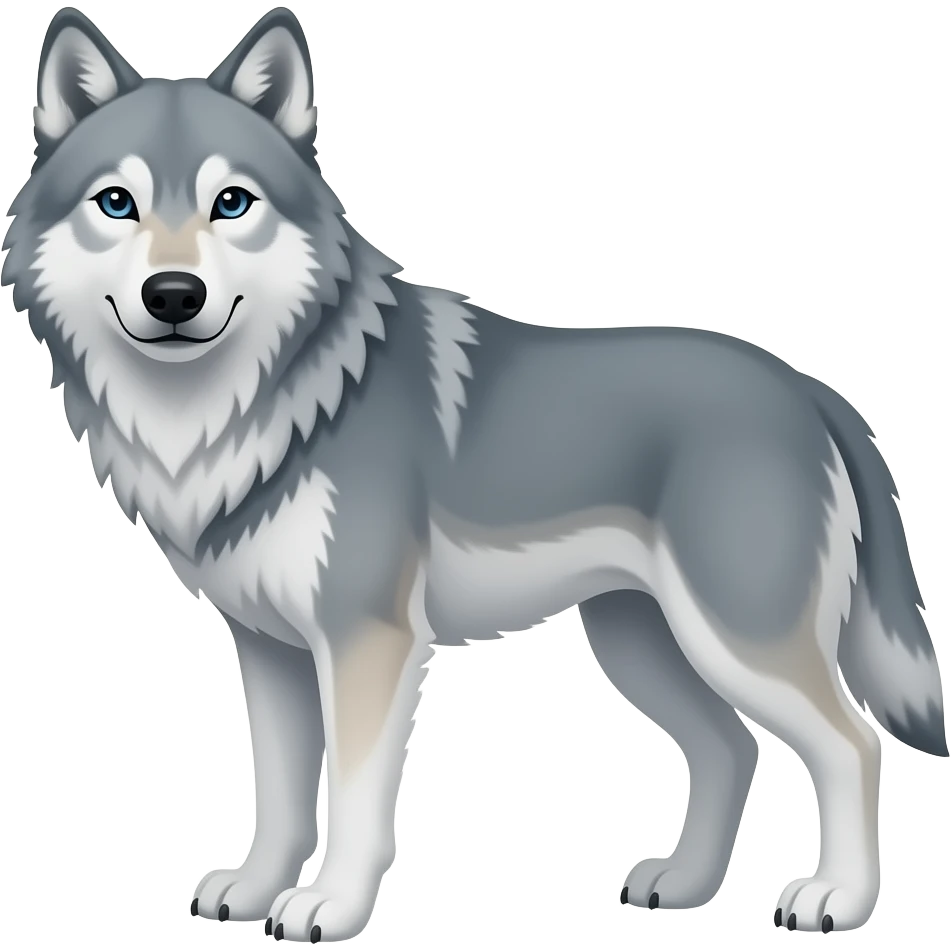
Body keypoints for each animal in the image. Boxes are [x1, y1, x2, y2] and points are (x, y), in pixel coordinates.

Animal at [2, 5, 946, 943]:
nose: (173, 295)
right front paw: (255, 889)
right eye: (116, 203)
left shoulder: (367, 641)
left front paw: (330, 905)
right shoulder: (268, 649)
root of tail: (809, 389)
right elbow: (278, 795)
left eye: (230, 203)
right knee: (731, 746)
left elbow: (352, 796)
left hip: (734, 638)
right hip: (639, 643)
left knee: (850, 744)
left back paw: (836, 898)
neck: (240, 408)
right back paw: (682, 883)